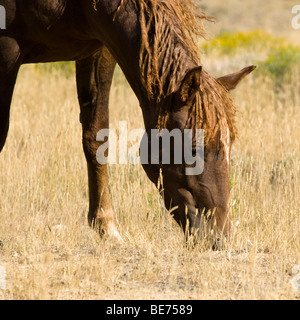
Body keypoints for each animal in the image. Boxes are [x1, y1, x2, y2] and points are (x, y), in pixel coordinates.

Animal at [0, 0, 255, 245]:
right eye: (194, 148)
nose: (219, 238)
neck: (75, 5)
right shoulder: (7, 50)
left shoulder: (99, 50)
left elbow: (96, 137)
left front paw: (106, 227)